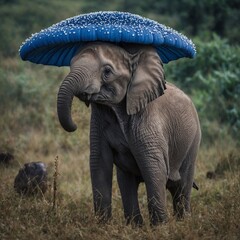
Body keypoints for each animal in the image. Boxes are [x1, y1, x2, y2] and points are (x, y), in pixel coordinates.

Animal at [57, 41, 202, 225]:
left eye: (107, 71)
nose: (74, 125)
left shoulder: (148, 121)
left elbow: (154, 168)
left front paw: (161, 227)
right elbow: (99, 164)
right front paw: (103, 226)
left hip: (193, 141)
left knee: (182, 184)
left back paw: (183, 222)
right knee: (128, 182)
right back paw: (137, 225)